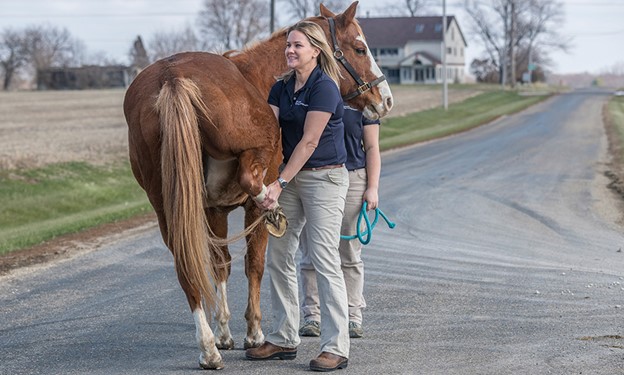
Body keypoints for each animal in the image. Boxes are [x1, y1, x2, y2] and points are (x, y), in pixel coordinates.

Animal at [123, 0, 392, 370]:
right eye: (360, 48)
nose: (386, 100)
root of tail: (172, 75)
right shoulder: (244, 207)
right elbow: (254, 265)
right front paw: (253, 333)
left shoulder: (213, 209)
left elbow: (221, 263)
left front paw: (223, 332)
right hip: (256, 149)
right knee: (253, 186)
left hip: (166, 206)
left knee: (185, 266)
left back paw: (208, 347)